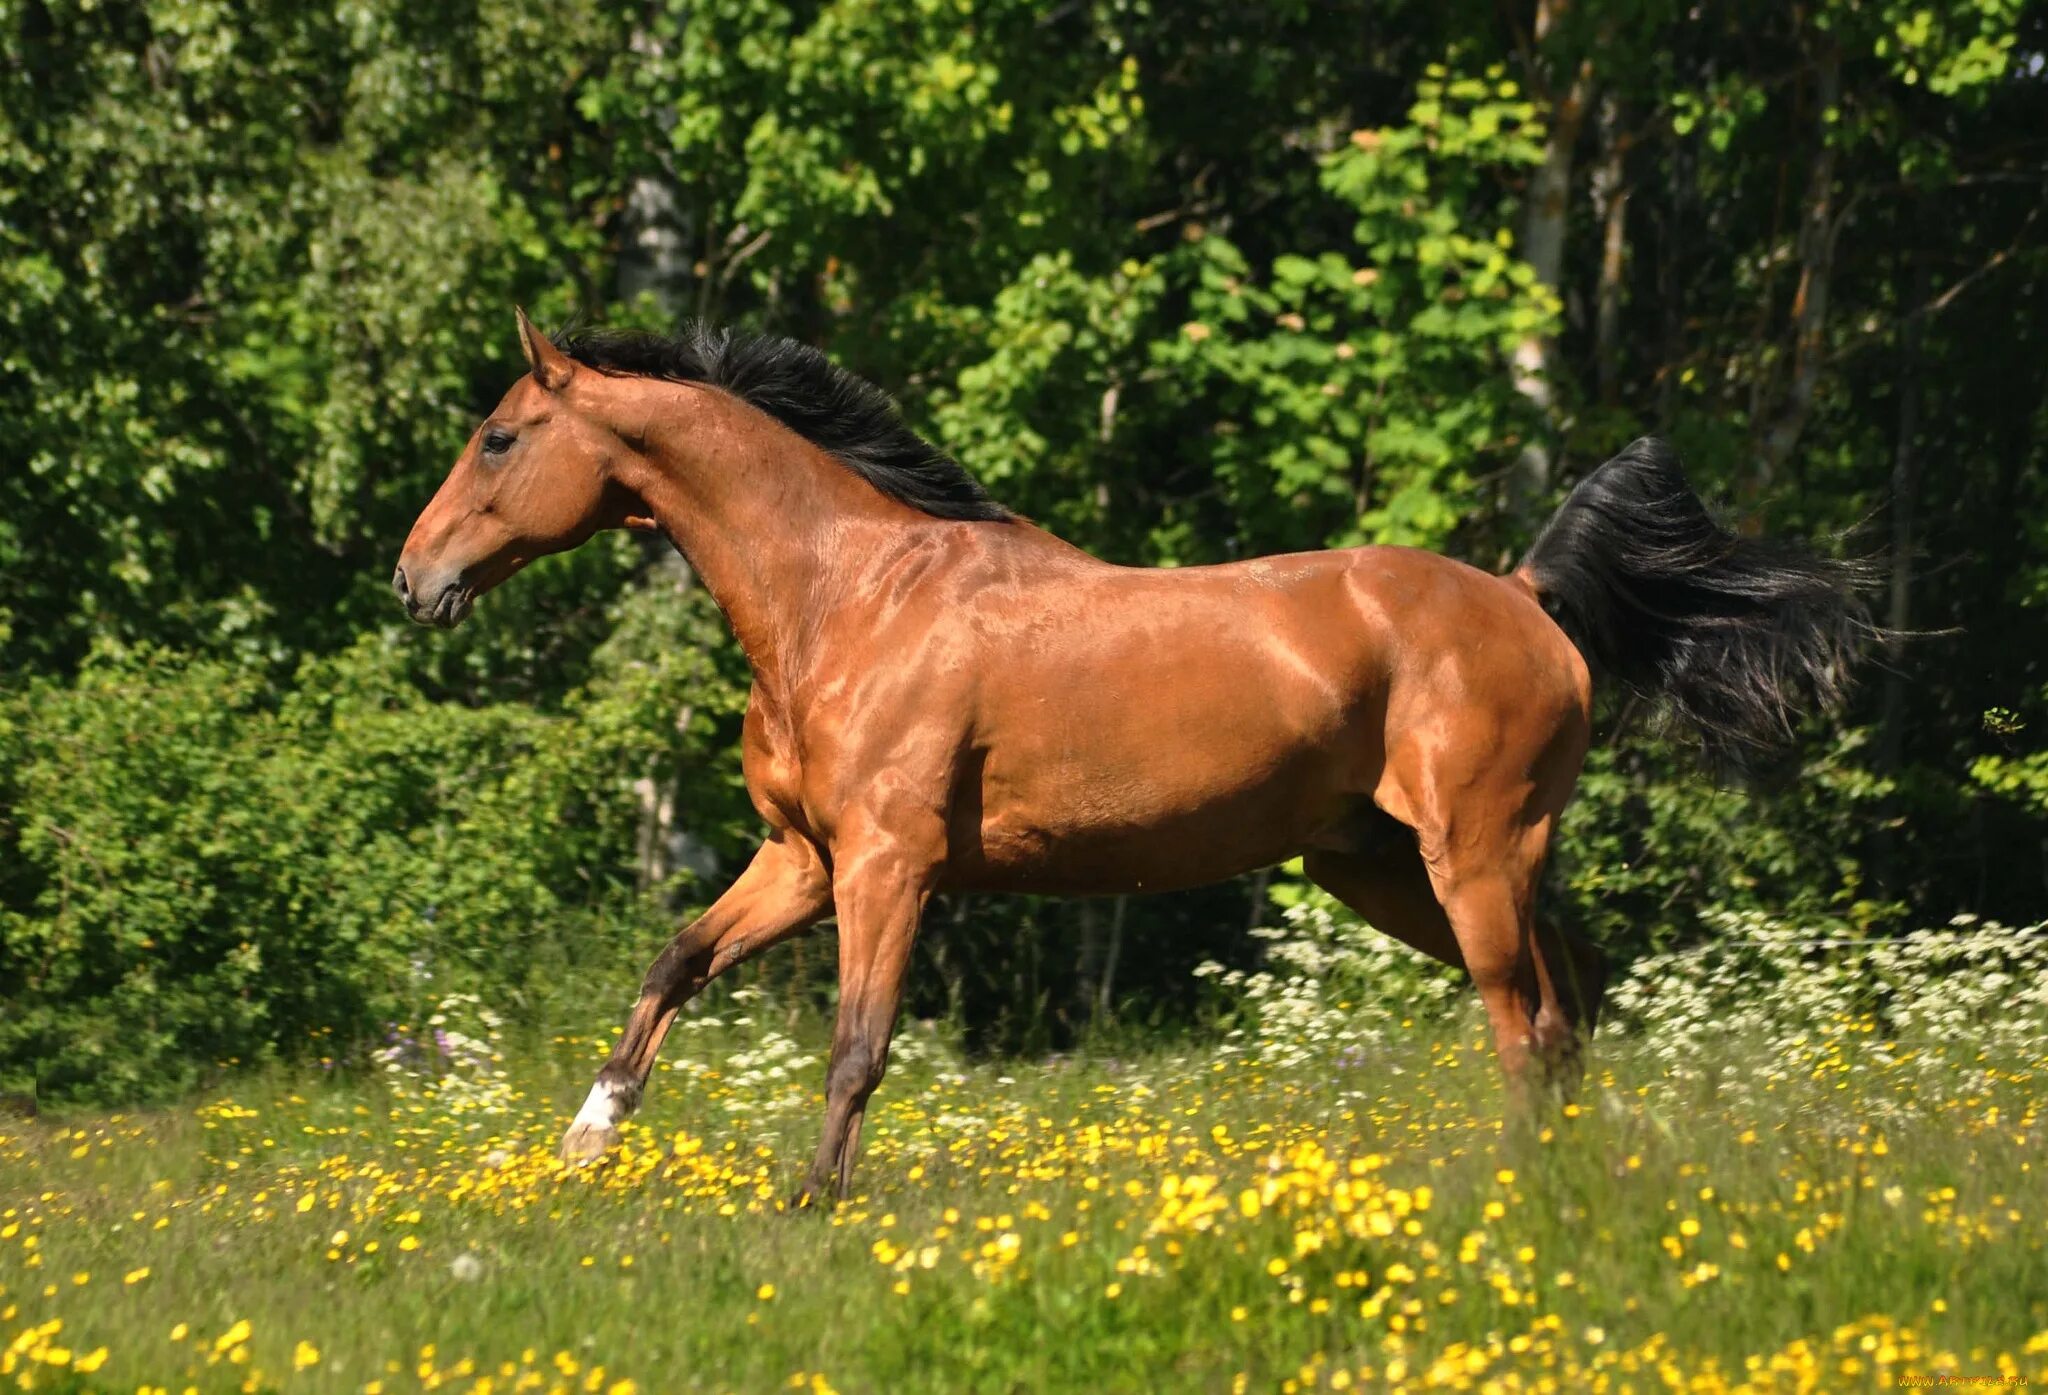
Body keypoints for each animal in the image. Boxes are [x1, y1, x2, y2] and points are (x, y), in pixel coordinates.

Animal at [387, 309, 1875, 1204]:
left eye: (499, 435)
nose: (414, 578)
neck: (845, 595)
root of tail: (1524, 599)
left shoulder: (888, 865)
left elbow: (857, 1046)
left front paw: (812, 1206)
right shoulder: (802, 859)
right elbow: (675, 962)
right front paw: (588, 1134)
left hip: (1474, 855)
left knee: (1531, 1023)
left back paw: (1528, 1189)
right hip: (1387, 869)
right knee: (1576, 1000)